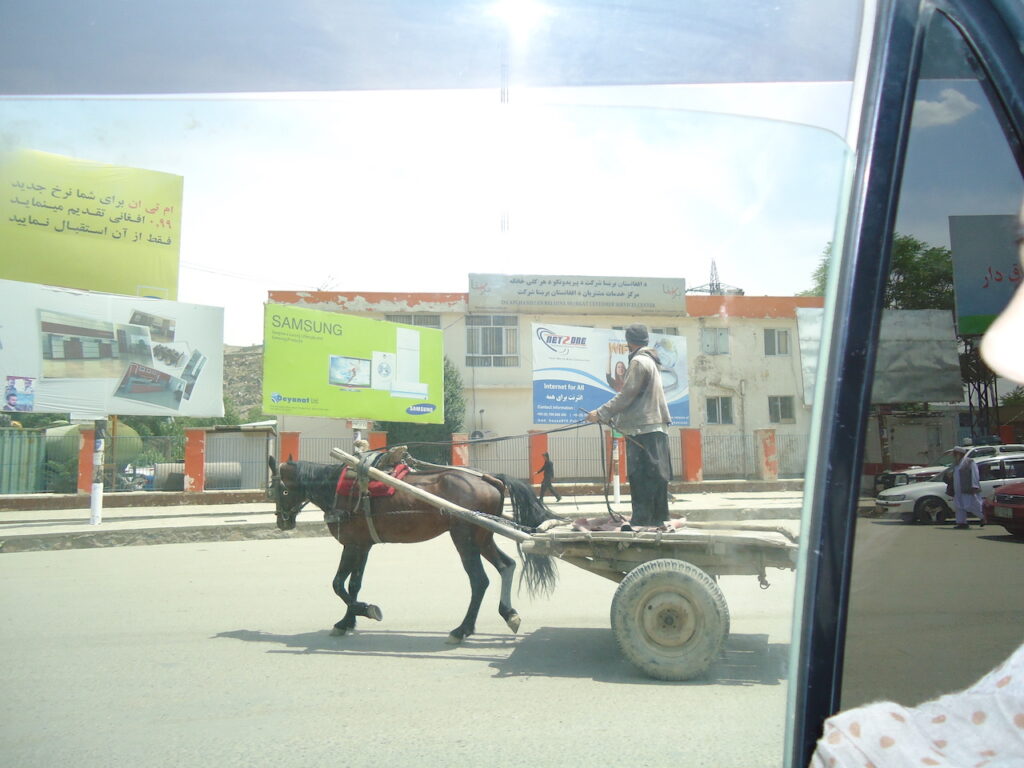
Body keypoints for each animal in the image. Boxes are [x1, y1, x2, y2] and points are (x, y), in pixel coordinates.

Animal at [268, 456, 557, 643]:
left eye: (275, 489)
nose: (282, 522)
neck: (340, 488)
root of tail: (491, 478)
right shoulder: (362, 545)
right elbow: (353, 585)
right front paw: (347, 620)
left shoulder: (351, 544)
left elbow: (338, 584)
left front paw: (365, 610)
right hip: (482, 536)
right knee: (506, 566)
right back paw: (508, 614)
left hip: (463, 537)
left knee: (479, 580)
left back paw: (462, 629)